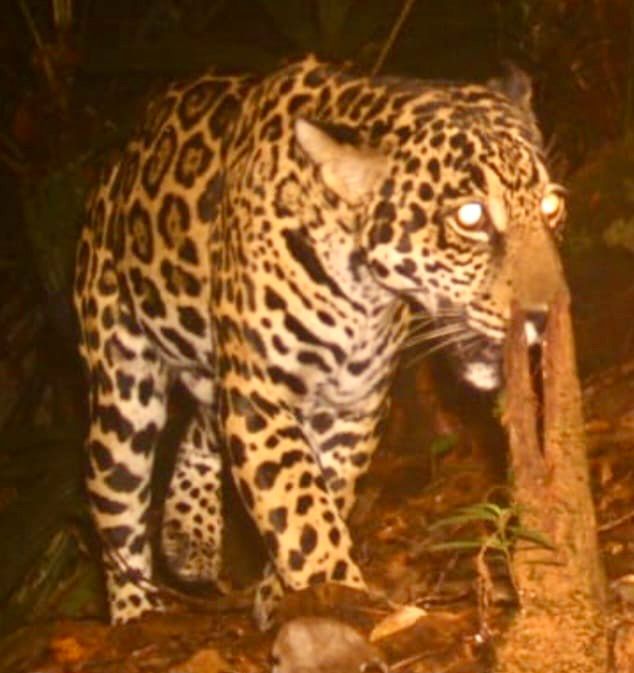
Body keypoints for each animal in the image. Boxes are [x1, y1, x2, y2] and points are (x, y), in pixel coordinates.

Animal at [73, 55, 566, 627]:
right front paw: (337, 589)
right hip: (122, 385)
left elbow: (323, 489)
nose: (545, 316)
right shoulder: (260, 393)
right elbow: (299, 503)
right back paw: (137, 610)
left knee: (203, 424)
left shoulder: (353, 404)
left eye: (551, 206)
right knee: (114, 498)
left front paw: (289, 593)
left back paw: (187, 535)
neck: (363, 292)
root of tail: (119, 163)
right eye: (471, 217)